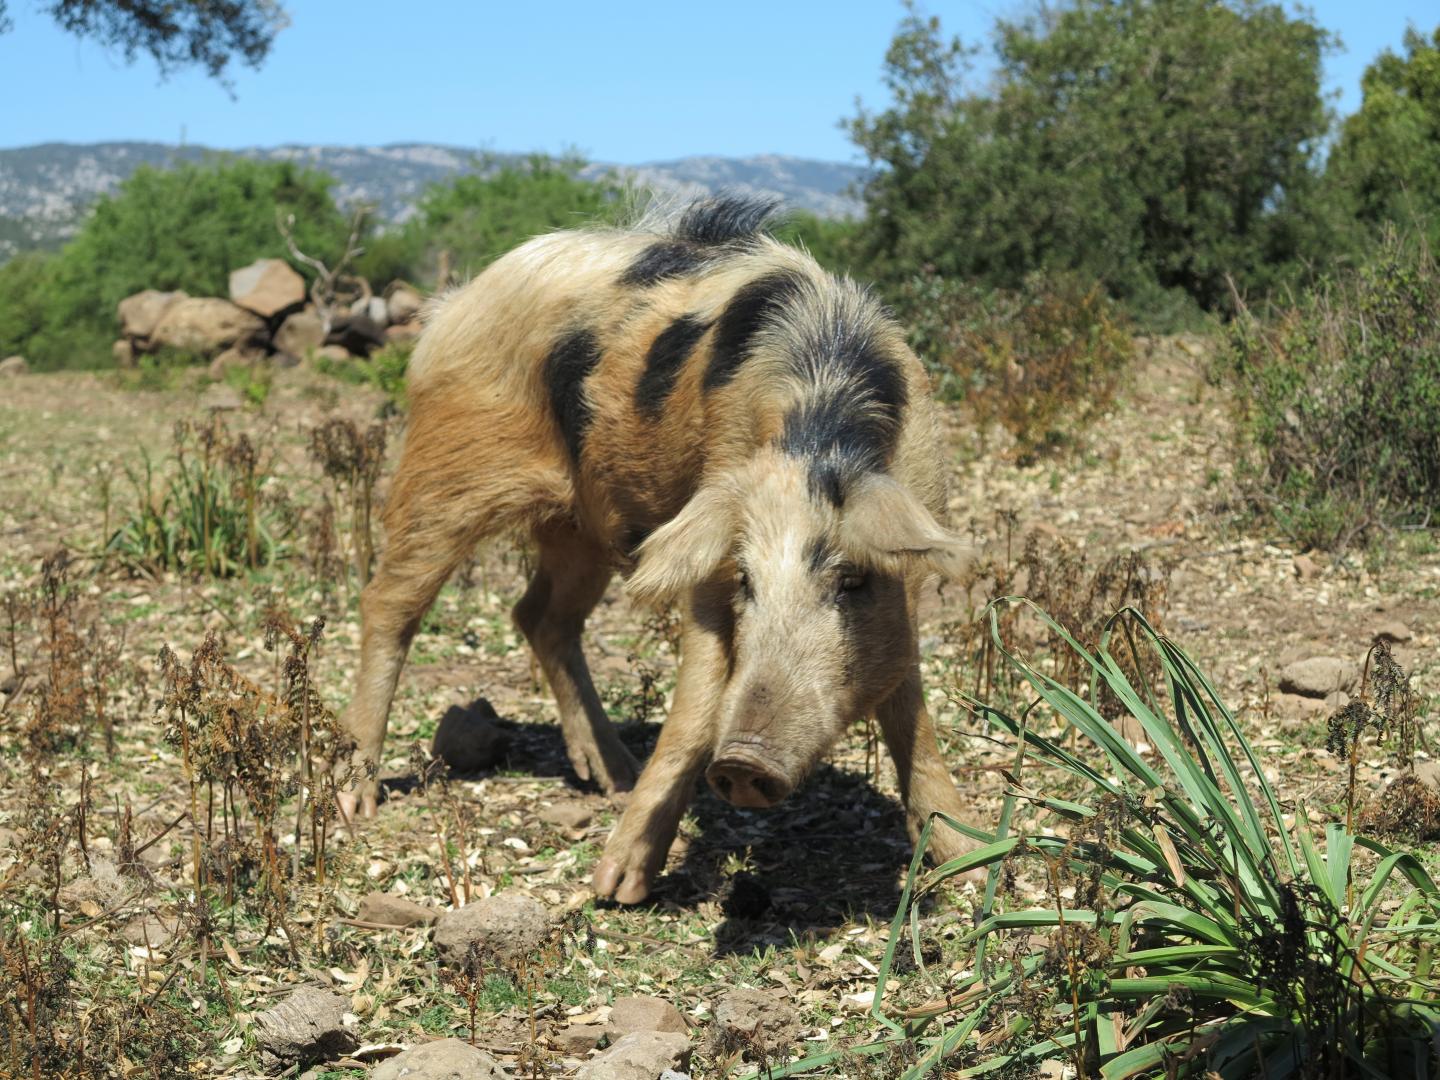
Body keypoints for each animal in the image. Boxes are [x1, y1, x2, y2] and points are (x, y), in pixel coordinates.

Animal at [336, 194, 979, 904]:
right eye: (747, 583)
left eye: (852, 582)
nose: (744, 763)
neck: (817, 431)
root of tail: (453, 305)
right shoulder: (711, 546)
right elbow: (694, 707)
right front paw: (616, 887)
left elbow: (910, 708)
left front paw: (971, 864)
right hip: (444, 469)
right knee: (389, 603)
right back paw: (355, 803)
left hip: (581, 526)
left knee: (539, 616)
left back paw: (612, 774)